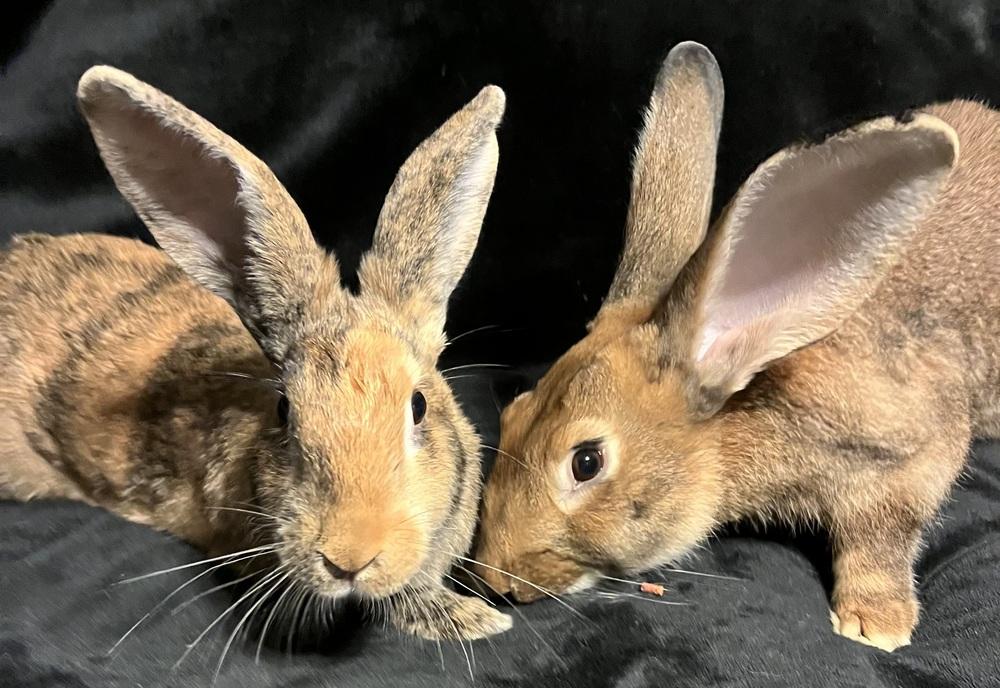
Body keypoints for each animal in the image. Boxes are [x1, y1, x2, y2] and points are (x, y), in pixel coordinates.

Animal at [471, 40, 995, 652]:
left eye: (586, 462)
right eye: (513, 411)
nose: (495, 578)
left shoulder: (907, 455)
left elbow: (882, 537)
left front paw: (874, 625)